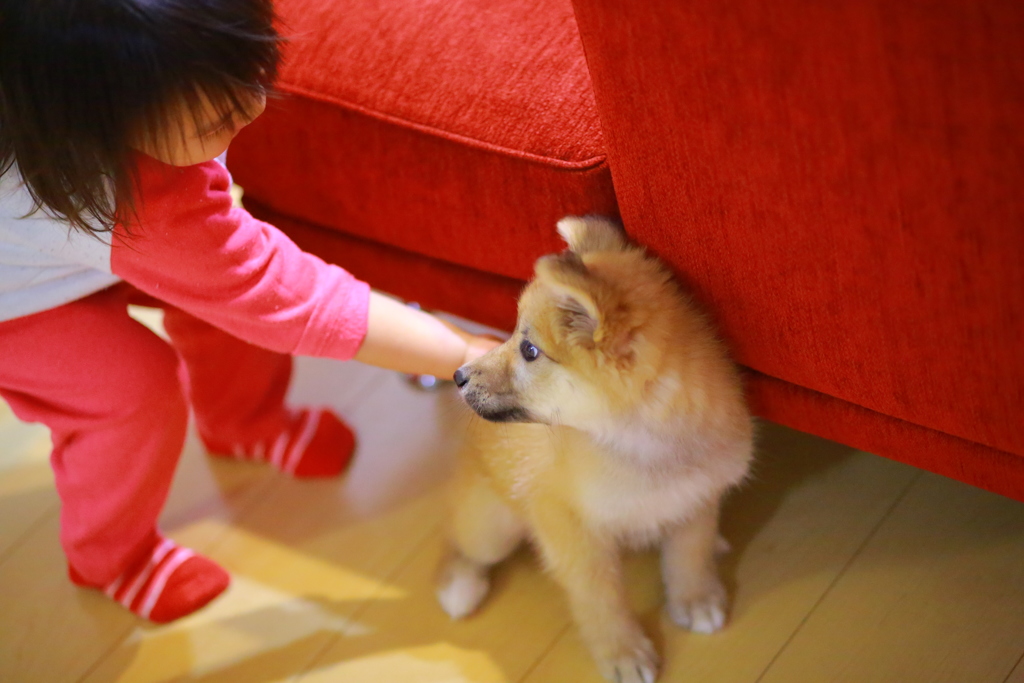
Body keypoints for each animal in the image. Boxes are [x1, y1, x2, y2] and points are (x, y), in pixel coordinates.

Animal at [436, 215, 757, 683]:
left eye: (529, 350)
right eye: (516, 337)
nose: (458, 375)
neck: (642, 449)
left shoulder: (695, 499)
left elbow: (689, 555)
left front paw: (694, 597)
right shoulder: (570, 533)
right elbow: (599, 600)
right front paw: (622, 651)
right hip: (491, 529)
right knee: (458, 541)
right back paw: (459, 587)